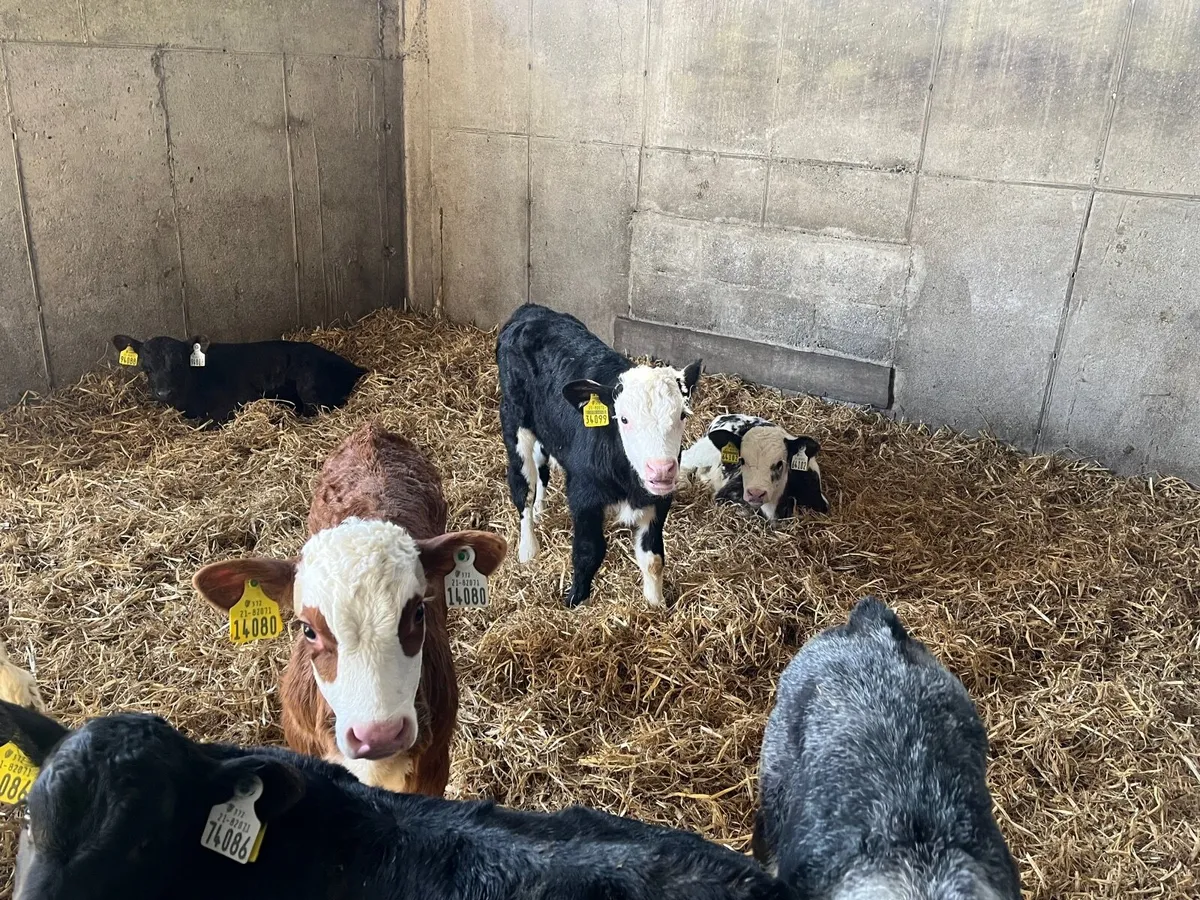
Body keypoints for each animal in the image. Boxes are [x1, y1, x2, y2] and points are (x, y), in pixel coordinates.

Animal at [111, 334, 366, 426]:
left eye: (179, 365)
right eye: (146, 368)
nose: (163, 393)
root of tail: (355, 367)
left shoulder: (240, 399)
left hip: (309, 385)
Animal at [497, 304, 701, 608]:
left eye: (682, 415)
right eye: (624, 419)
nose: (661, 470)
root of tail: (531, 311)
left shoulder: (659, 501)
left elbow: (653, 559)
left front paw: (656, 605)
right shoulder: (584, 496)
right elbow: (588, 551)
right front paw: (574, 600)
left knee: (541, 466)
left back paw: (541, 510)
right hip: (515, 421)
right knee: (523, 486)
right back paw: (527, 548)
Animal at [680, 414, 828, 521]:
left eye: (780, 463)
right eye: (742, 460)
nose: (756, 493)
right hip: (704, 450)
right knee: (685, 458)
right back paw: (683, 484)